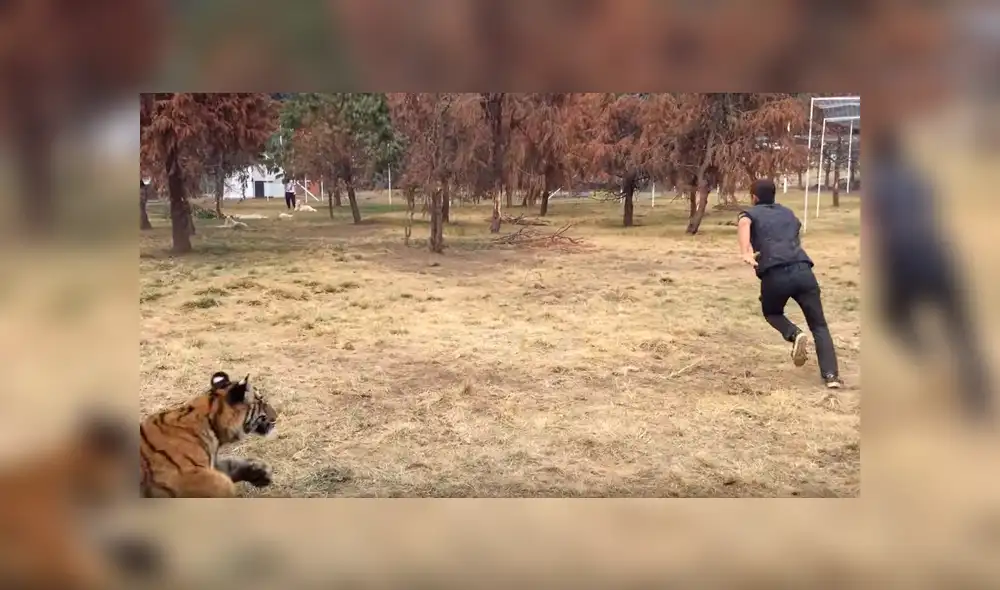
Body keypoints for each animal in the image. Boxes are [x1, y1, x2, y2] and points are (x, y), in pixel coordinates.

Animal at [140, 371, 279, 498]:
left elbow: (229, 464)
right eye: (262, 402)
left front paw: (260, 471)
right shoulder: (187, 476)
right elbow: (225, 482)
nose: (276, 416)